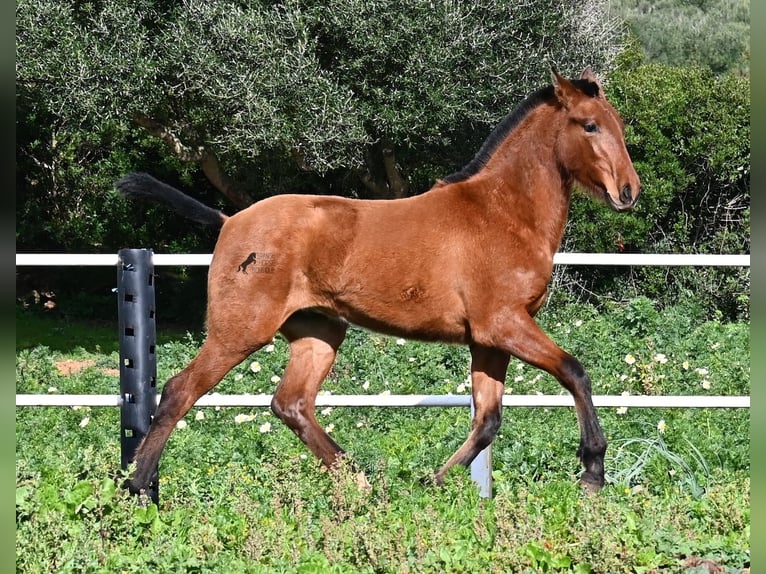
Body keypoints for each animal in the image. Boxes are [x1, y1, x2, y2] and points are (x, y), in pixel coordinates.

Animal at [115, 66, 640, 500]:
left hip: (320, 332)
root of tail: (227, 221)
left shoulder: (489, 339)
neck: (502, 213)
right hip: (240, 330)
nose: (628, 192)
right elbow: (574, 371)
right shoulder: (504, 324)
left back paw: (363, 484)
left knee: (291, 404)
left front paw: (431, 483)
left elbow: (487, 420)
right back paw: (138, 488)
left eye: (618, 123)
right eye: (589, 125)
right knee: (180, 391)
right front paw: (593, 472)